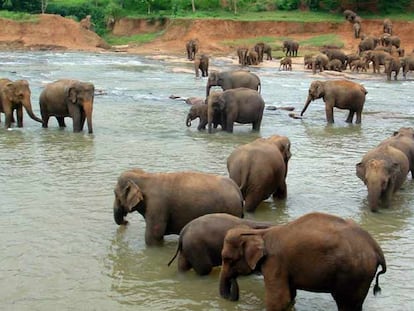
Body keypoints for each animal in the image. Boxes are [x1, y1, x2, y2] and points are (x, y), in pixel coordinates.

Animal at [111, 168, 244, 246]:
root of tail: (237, 190)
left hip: (231, 209)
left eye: (115, 193)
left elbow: (153, 235)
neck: (144, 176)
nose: (126, 222)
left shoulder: (157, 206)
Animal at [218, 212, 386, 311]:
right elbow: (289, 297)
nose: (233, 281)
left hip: (354, 275)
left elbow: (278, 301)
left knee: (346, 304)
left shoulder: (275, 263)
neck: (259, 232)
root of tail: (376, 247)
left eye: (228, 259)